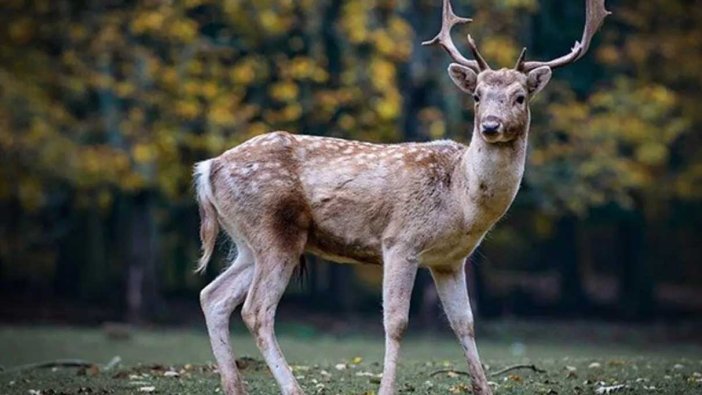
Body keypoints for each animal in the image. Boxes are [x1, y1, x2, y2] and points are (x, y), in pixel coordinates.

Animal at [194, 0, 612, 395]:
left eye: (520, 96)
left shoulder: (450, 261)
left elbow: (465, 323)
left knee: (213, 296)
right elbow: (396, 322)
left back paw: (234, 385)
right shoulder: (400, 242)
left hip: (248, 242)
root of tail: (208, 168)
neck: (461, 202)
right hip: (274, 231)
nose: (491, 126)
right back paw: (292, 387)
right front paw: (385, 387)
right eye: (477, 96)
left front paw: (484, 387)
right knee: (256, 310)